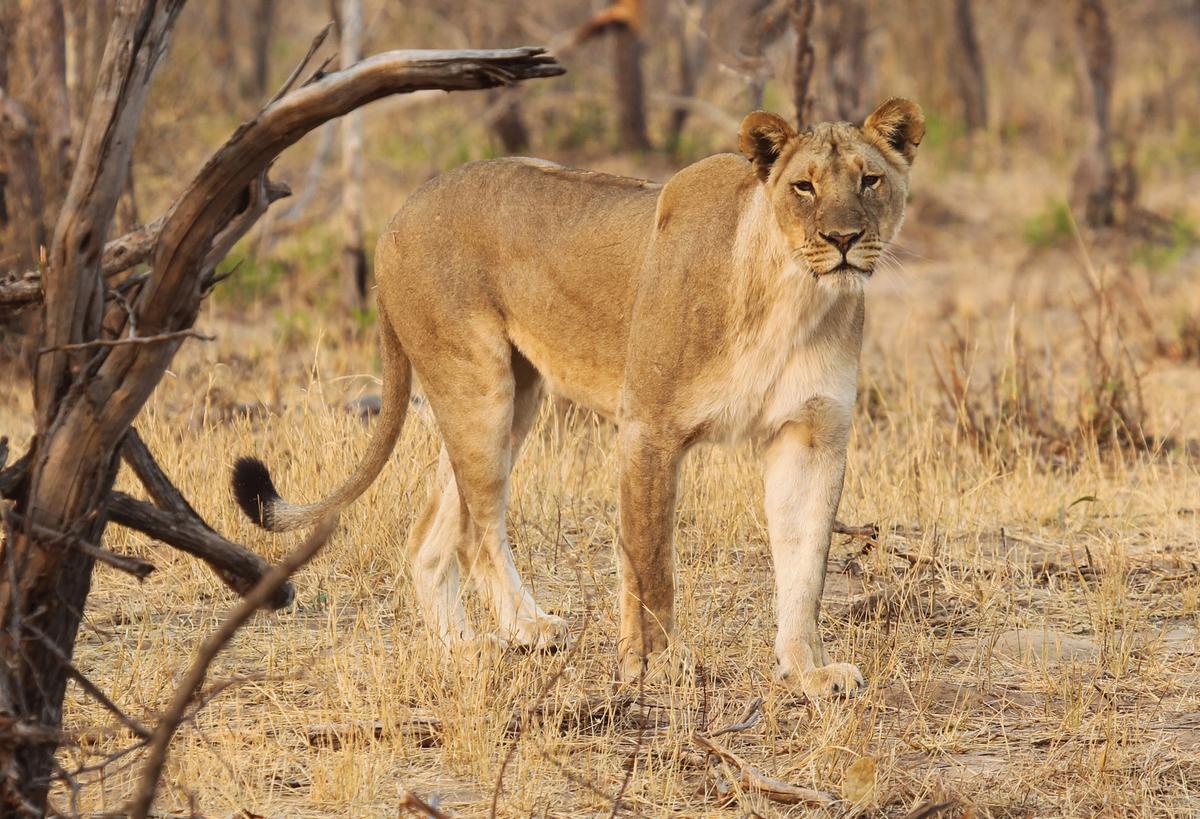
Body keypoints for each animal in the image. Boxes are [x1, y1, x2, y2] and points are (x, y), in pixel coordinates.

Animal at [233, 98, 924, 699]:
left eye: (869, 180)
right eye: (803, 187)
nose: (842, 238)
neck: (795, 295)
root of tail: (398, 215)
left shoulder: (812, 434)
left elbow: (805, 564)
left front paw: (809, 670)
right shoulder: (649, 426)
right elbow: (651, 560)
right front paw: (656, 665)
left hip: (514, 399)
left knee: (430, 535)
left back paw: (466, 648)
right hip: (477, 387)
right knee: (478, 531)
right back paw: (529, 628)